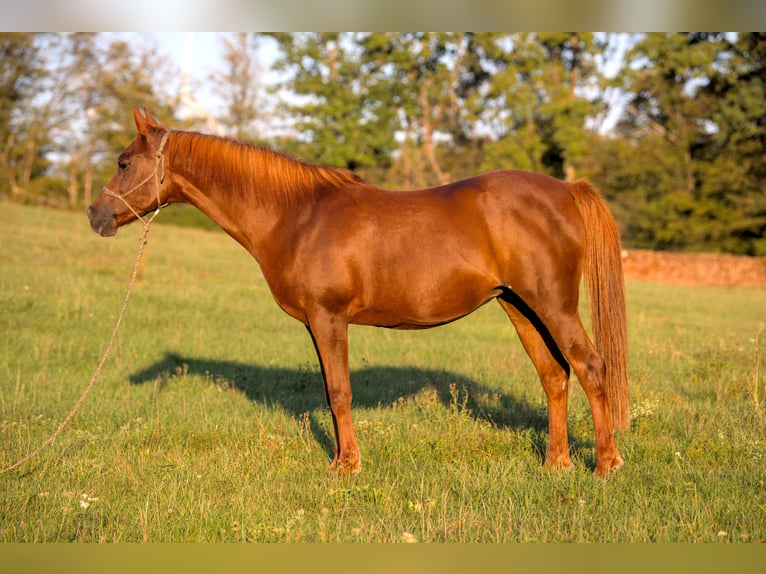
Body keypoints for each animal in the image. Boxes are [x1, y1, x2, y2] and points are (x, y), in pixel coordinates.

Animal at [90, 107, 632, 476]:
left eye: (123, 162)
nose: (96, 215)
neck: (296, 215)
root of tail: (565, 190)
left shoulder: (329, 317)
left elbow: (340, 392)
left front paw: (346, 466)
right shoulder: (315, 323)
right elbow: (329, 393)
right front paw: (339, 459)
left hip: (553, 306)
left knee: (590, 367)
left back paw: (605, 464)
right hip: (519, 306)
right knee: (554, 376)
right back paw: (555, 463)